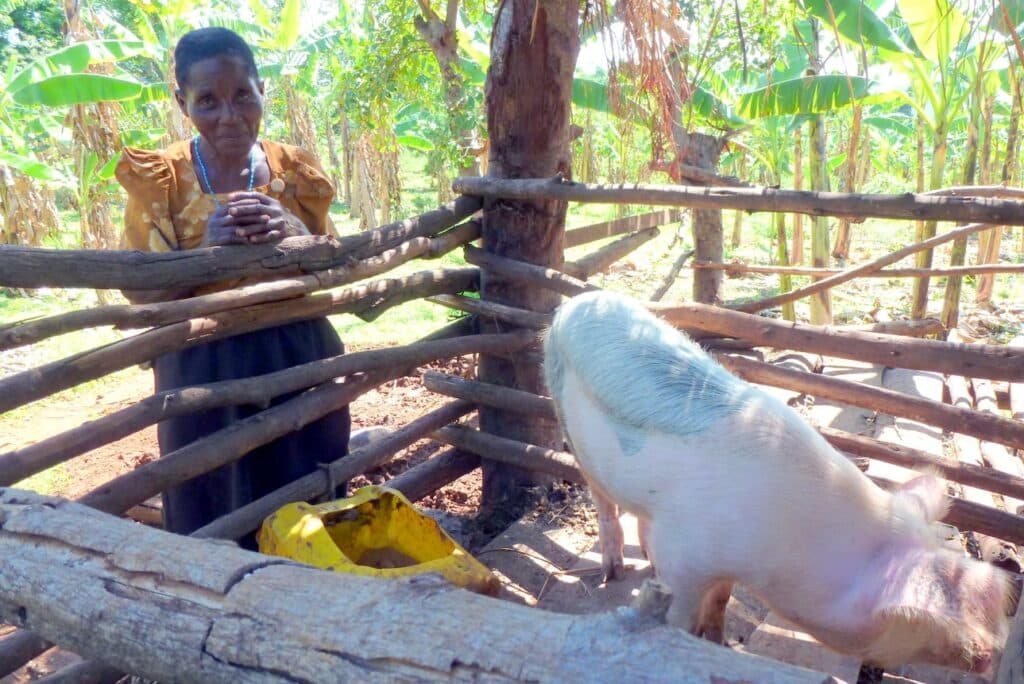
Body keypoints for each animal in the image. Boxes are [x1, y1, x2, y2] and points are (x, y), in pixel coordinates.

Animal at [544, 290, 1015, 671]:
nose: (991, 655)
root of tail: (574, 302)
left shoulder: (722, 566)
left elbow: (720, 602)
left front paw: (719, 644)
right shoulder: (686, 559)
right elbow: (678, 616)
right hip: (566, 417)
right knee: (603, 502)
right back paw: (613, 572)